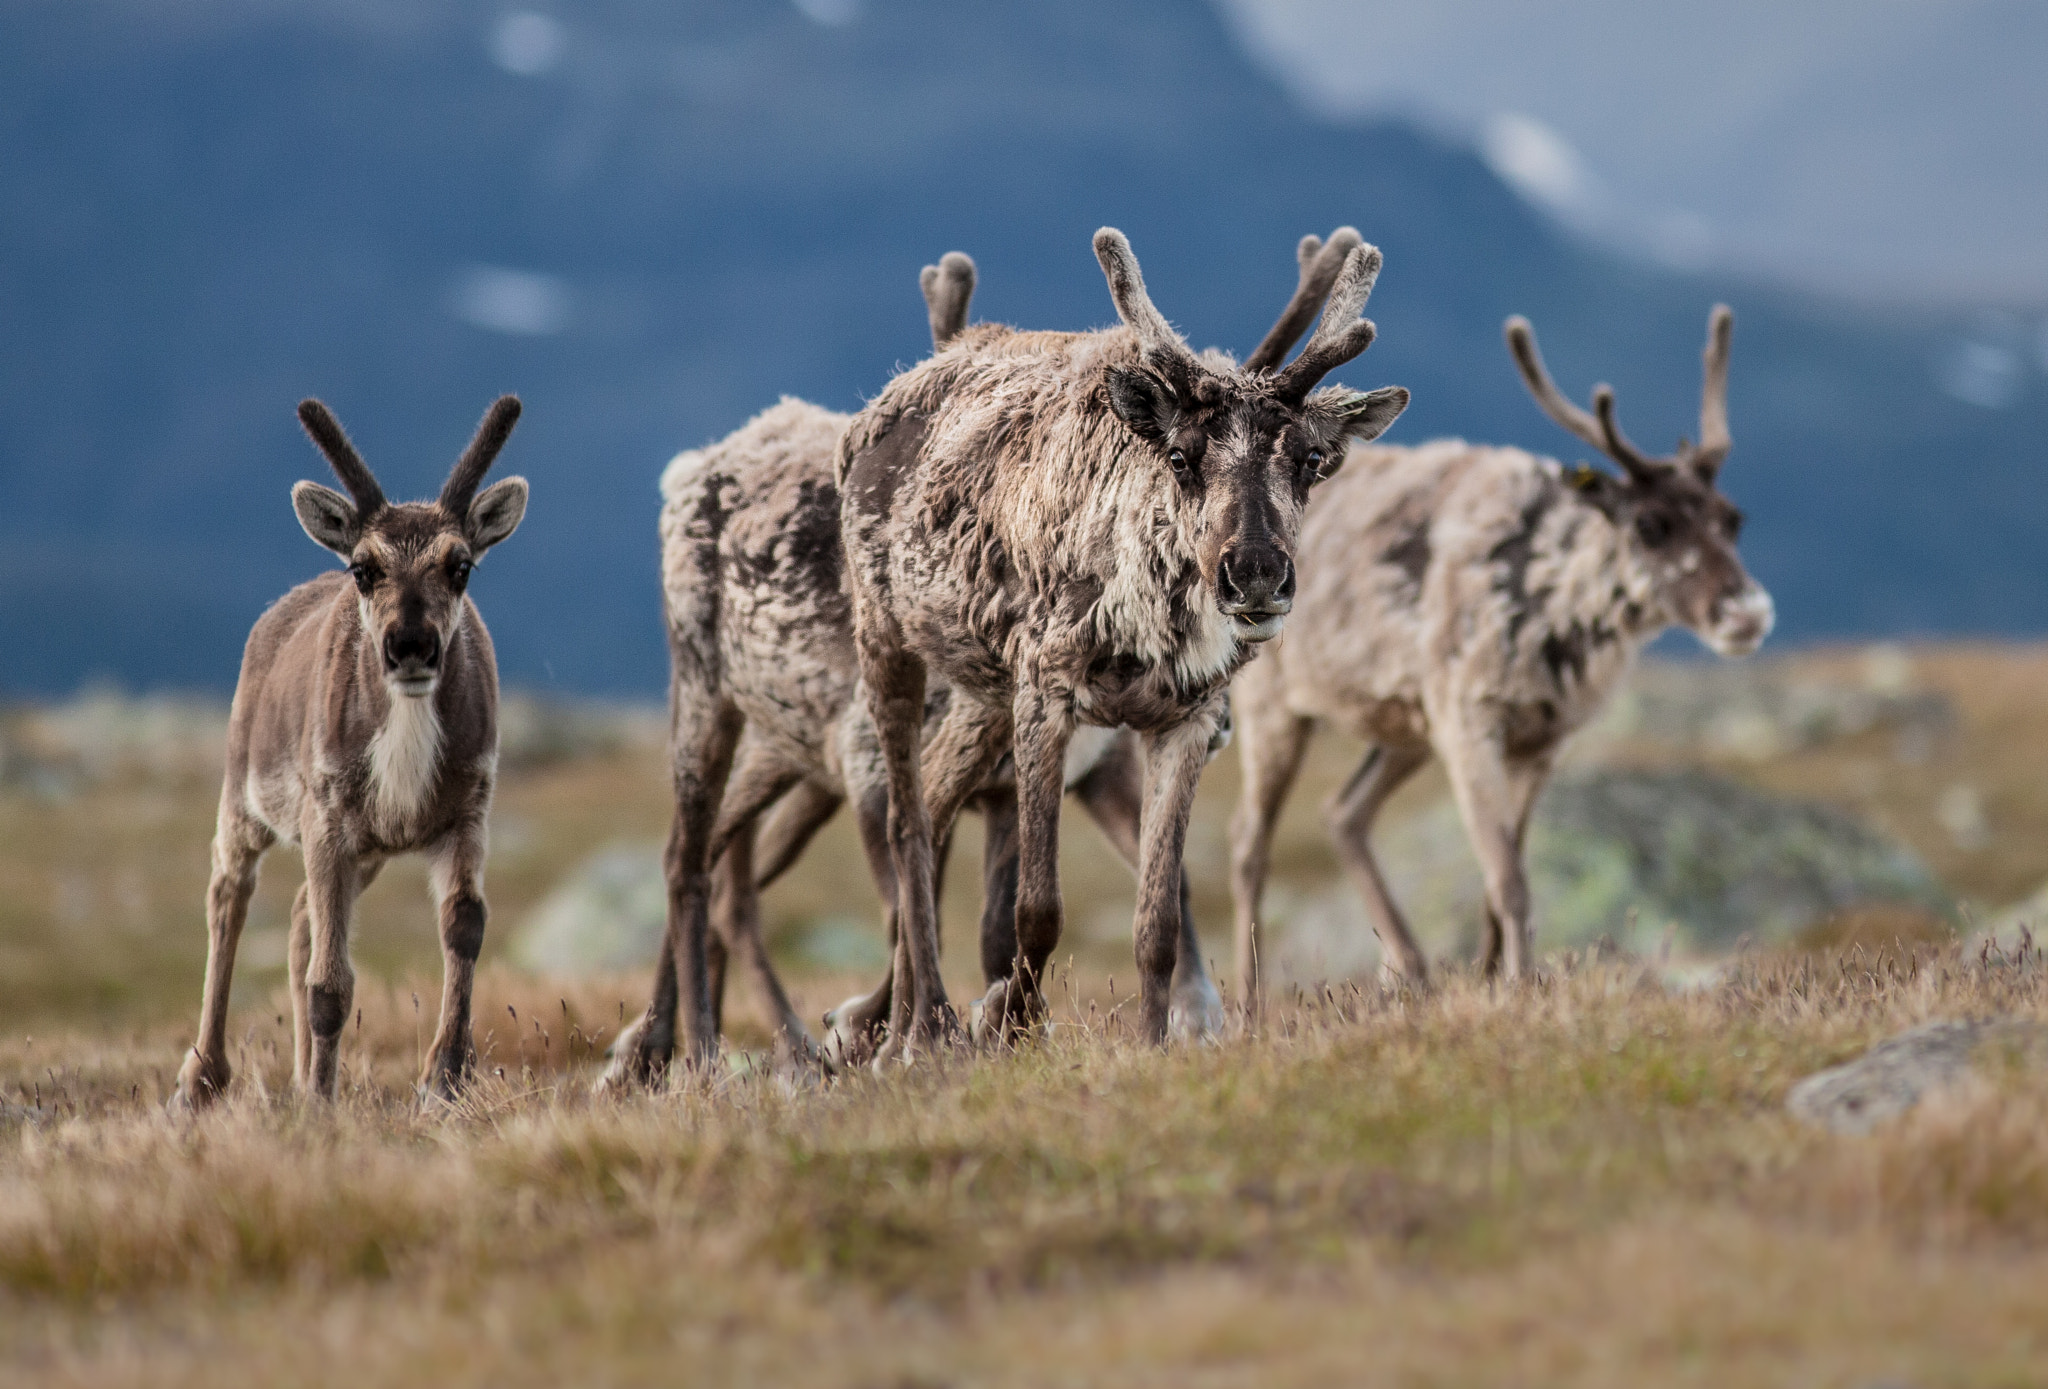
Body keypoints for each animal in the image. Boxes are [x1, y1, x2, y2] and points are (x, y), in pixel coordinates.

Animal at [173, 396, 528, 1108]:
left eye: (461, 565)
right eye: (364, 569)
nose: (411, 644)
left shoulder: (467, 811)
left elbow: (465, 925)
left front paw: (444, 1078)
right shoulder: (329, 813)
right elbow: (331, 985)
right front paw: (320, 1104)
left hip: (365, 851)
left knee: (300, 918)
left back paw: (299, 1072)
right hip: (247, 795)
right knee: (229, 893)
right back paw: (202, 1077)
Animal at [603, 246, 1281, 1085]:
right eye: (1179, 462)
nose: (1251, 580)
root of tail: (689, 468)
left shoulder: (1069, 769)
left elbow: (1069, 902)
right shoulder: (886, 761)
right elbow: (920, 879)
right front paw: (917, 1030)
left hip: (787, 752)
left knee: (726, 862)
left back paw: (693, 1041)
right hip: (711, 689)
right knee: (693, 854)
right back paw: (693, 1046)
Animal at [836, 226, 1409, 1060]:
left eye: (1310, 461)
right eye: (1180, 456)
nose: (1256, 573)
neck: (1147, 627)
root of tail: (881, 401)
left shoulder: (1187, 721)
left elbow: (1159, 917)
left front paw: (1154, 1044)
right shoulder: (1046, 693)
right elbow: (1038, 907)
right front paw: (1009, 1020)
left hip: (983, 689)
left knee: (938, 794)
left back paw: (895, 1021)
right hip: (887, 636)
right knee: (906, 820)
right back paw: (921, 1026)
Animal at [1228, 306, 1773, 994]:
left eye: (1733, 518)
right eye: (1650, 524)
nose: (1748, 613)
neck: (1550, 613)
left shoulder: (1539, 745)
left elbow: (1505, 874)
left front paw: (1497, 981)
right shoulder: (1471, 722)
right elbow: (1508, 880)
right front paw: (1516, 983)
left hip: (1406, 728)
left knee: (1343, 811)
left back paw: (1413, 969)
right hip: (1273, 706)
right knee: (1250, 844)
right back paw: (1245, 1003)